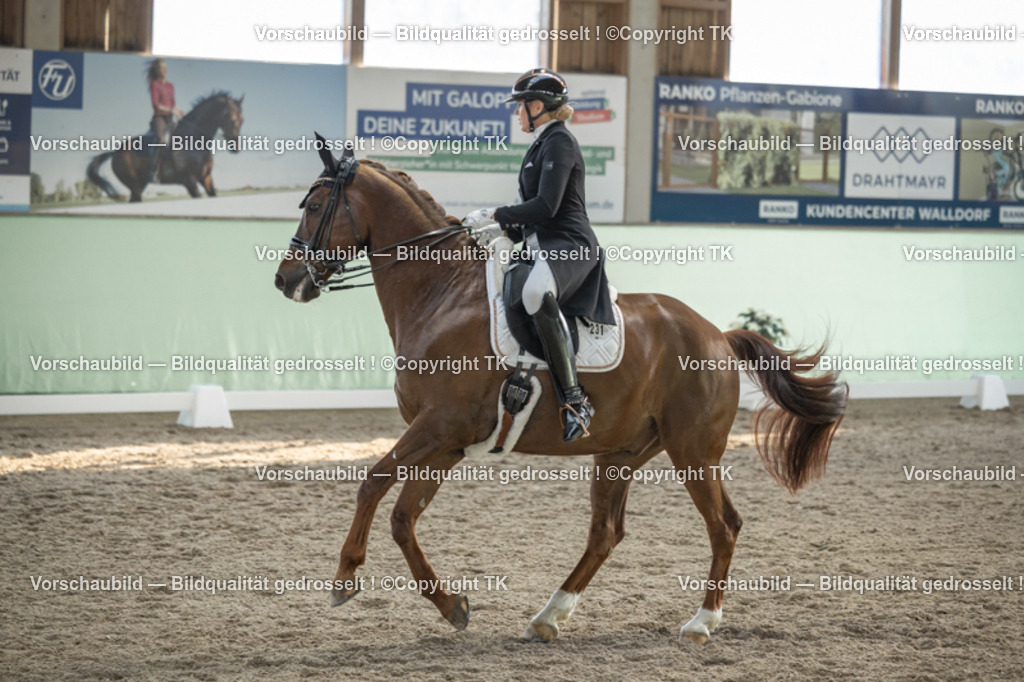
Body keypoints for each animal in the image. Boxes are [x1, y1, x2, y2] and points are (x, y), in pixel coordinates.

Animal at [87, 92, 244, 203]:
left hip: (140, 185)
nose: (236, 147)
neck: (193, 140)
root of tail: (115, 152)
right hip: (134, 185)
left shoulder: (206, 178)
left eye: (242, 120)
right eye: (231, 119)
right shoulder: (189, 180)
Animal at [273, 140, 847, 644]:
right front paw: (452, 605)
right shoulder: (447, 441)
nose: (286, 279)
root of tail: (717, 335)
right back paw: (548, 617)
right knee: (606, 533)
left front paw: (345, 577)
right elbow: (402, 518)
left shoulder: (437, 426)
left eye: (316, 206)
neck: (440, 293)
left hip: (693, 451)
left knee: (724, 525)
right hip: (622, 452)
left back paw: (701, 624)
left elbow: (371, 484)